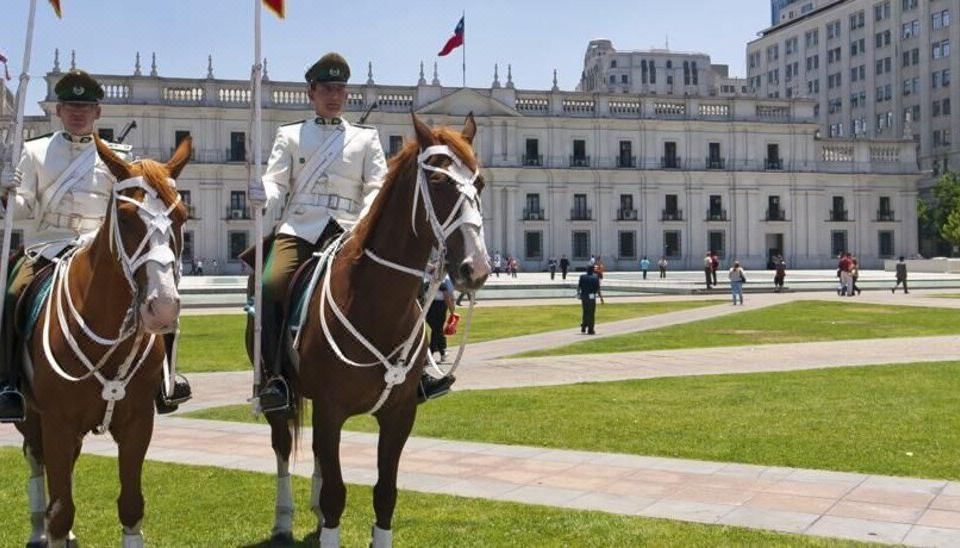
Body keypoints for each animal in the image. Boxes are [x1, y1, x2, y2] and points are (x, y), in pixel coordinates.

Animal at [14, 136, 191, 544]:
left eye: (181, 216)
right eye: (125, 217)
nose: (162, 307)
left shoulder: (138, 422)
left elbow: (131, 506)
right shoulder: (57, 422)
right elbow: (61, 510)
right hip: (32, 417)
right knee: (36, 462)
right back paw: (37, 531)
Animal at [262, 113, 488, 544]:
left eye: (480, 182)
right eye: (439, 180)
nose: (477, 268)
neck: (375, 303)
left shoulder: (399, 414)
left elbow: (385, 493)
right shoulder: (331, 409)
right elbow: (336, 492)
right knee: (281, 446)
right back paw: (283, 518)